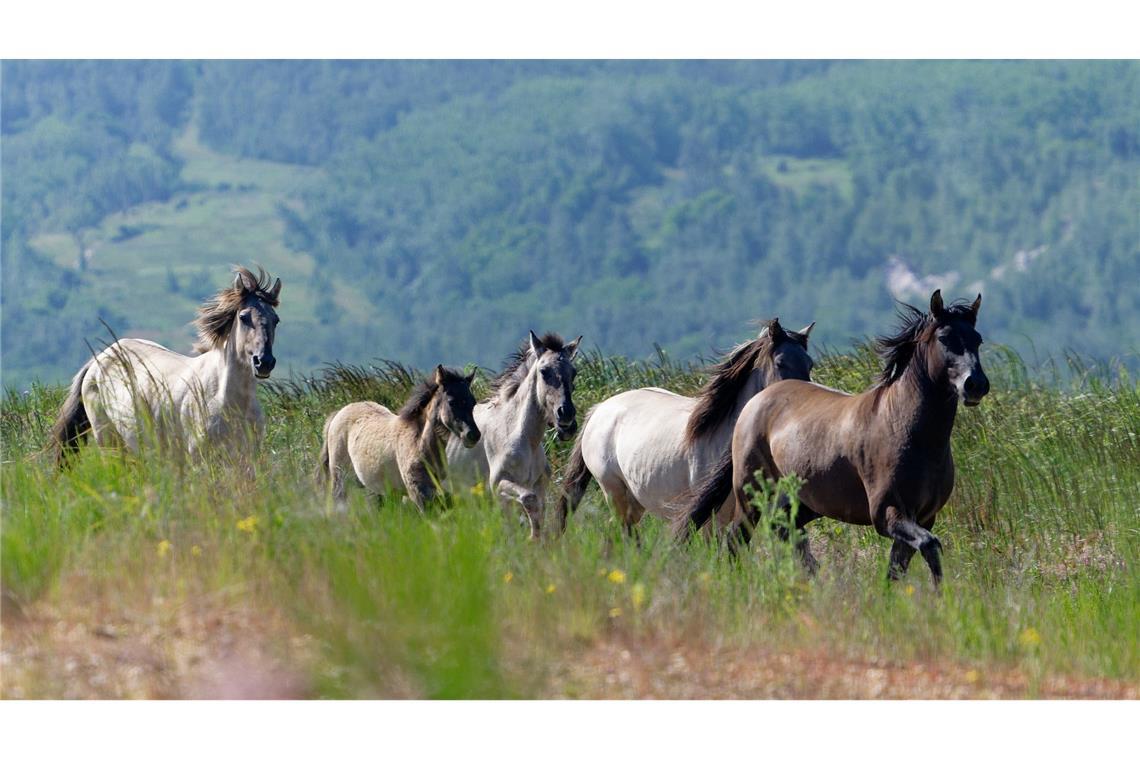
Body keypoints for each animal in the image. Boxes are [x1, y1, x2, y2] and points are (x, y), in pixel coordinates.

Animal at [51, 267, 285, 464]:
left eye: (276, 320)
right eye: (244, 317)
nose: (264, 362)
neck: (225, 398)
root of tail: (99, 359)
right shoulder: (200, 459)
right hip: (109, 441)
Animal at [446, 332, 583, 540]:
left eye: (573, 372)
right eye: (544, 371)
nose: (566, 416)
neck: (519, 436)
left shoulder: (539, 484)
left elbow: (538, 509)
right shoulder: (499, 485)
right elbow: (528, 501)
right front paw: (530, 539)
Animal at [684, 291, 989, 587]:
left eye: (978, 339)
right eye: (944, 338)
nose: (975, 384)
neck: (905, 429)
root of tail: (756, 401)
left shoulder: (924, 517)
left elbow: (897, 569)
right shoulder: (889, 513)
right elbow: (930, 546)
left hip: (805, 502)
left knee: (786, 531)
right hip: (751, 495)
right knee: (736, 540)